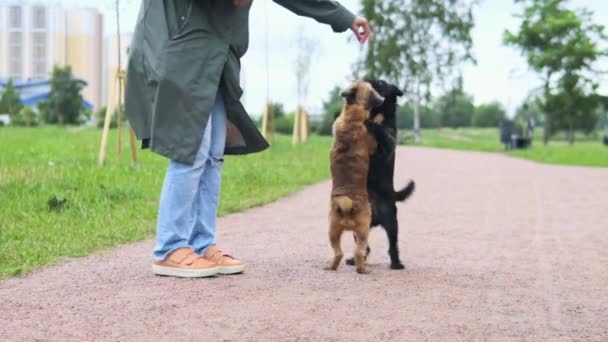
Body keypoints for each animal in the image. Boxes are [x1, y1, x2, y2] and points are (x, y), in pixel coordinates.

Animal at [324, 81, 384, 274]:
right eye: (373, 91)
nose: (382, 99)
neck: (352, 114)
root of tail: (347, 205)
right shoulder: (372, 142)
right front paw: (378, 118)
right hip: (364, 231)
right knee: (359, 252)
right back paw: (363, 269)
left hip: (333, 231)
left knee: (338, 253)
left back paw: (331, 266)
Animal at [346, 79, 418, 270]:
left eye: (380, 83)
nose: (368, 80)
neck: (379, 113)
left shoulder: (387, 143)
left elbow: (382, 134)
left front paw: (371, 122)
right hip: (357, 225)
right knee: (365, 246)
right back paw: (355, 259)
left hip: (392, 223)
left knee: (393, 245)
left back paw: (396, 263)